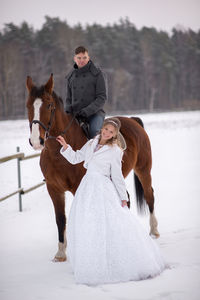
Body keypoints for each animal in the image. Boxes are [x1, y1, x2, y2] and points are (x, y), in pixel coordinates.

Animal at [26, 74, 159, 262]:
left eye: (49, 105)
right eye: (28, 105)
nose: (36, 141)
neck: (59, 155)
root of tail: (133, 121)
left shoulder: (79, 187)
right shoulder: (54, 189)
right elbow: (60, 219)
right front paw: (60, 253)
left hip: (143, 170)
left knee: (149, 195)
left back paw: (154, 231)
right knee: (125, 198)